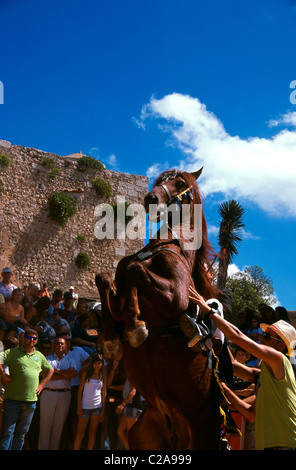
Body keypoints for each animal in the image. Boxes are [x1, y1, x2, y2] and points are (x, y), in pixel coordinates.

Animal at [96, 167, 223, 450]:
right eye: (159, 180)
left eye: (179, 182)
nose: (151, 198)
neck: (168, 243)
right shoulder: (117, 288)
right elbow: (105, 278)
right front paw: (111, 337)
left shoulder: (176, 298)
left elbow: (135, 269)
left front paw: (136, 326)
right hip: (143, 436)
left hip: (202, 438)